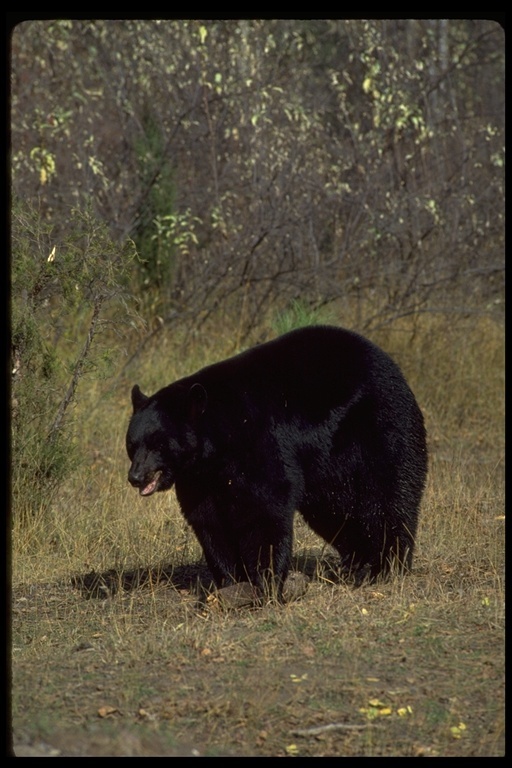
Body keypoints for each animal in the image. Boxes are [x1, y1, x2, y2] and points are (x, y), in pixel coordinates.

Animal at [127, 324, 428, 600]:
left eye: (158, 443)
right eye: (132, 444)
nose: (135, 477)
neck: (217, 445)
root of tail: (390, 363)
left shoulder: (257, 444)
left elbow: (264, 508)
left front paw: (266, 582)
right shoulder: (199, 479)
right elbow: (210, 522)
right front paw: (231, 581)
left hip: (378, 430)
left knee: (385, 497)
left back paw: (386, 566)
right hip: (330, 469)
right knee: (337, 509)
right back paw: (357, 563)